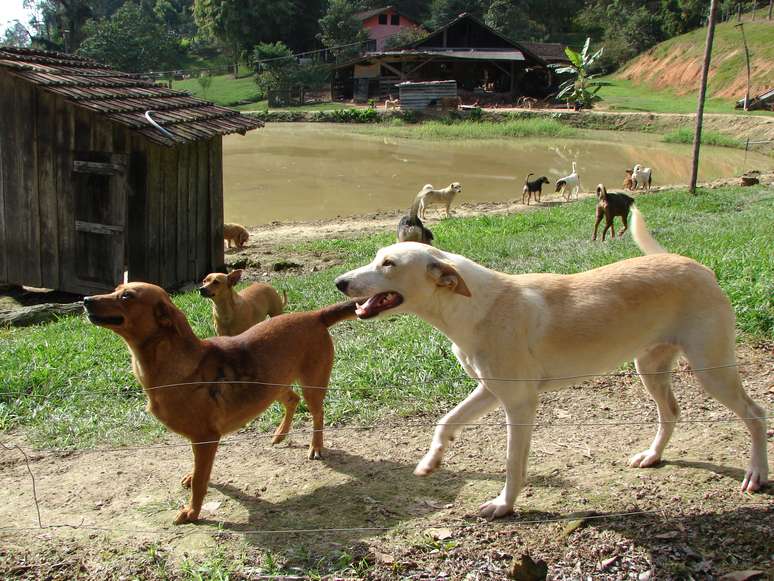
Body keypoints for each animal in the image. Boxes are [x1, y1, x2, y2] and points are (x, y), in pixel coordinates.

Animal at [82, 284, 358, 524]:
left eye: (127, 296)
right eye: (116, 289)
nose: (85, 300)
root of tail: (314, 315)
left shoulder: (206, 438)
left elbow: (201, 481)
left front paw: (192, 512)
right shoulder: (199, 440)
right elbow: (198, 472)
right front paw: (193, 479)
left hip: (312, 385)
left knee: (318, 414)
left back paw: (315, 446)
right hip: (272, 385)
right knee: (292, 399)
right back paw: (280, 435)